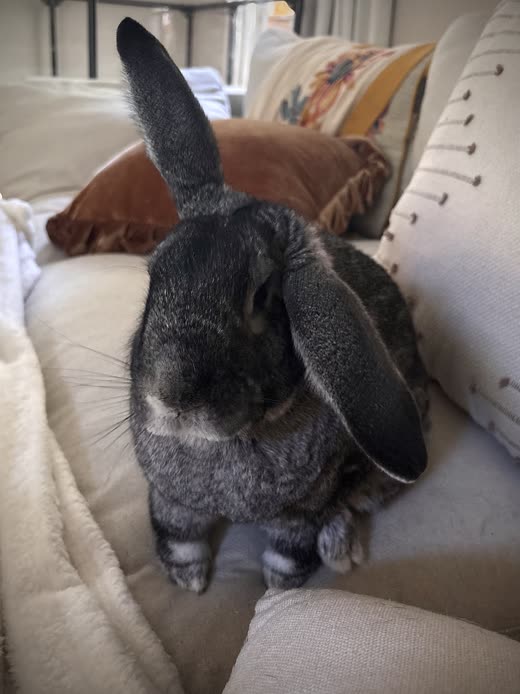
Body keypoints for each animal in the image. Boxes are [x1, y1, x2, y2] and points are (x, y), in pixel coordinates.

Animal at [117, 18, 429, 594]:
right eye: (154, 278)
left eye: (262, 296)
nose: (171, 396)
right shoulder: (171, 500)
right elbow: (179, 535)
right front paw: (190, 582)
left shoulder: (299, 513)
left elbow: (287, 554)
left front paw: (279, 591)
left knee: (353, 504)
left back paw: (340, 549)